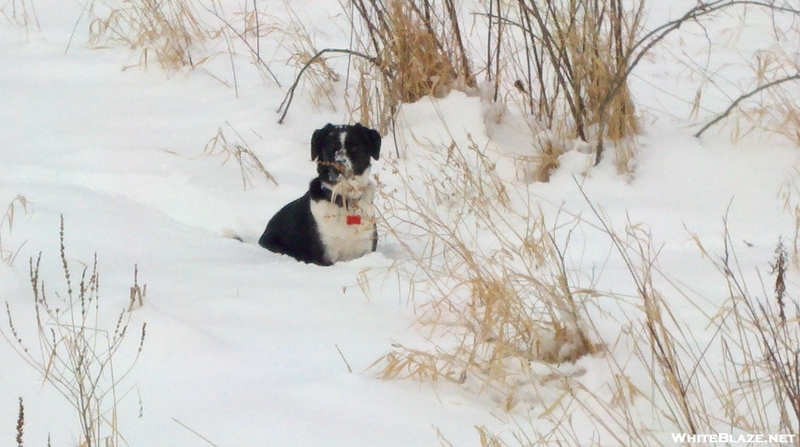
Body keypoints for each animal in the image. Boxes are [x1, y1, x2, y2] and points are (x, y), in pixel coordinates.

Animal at [256, 123, 382, 266]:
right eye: (331, 148)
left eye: (355, 147)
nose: (338, 166)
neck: (345, 202)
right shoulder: (325, 254)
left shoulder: (365, 247)